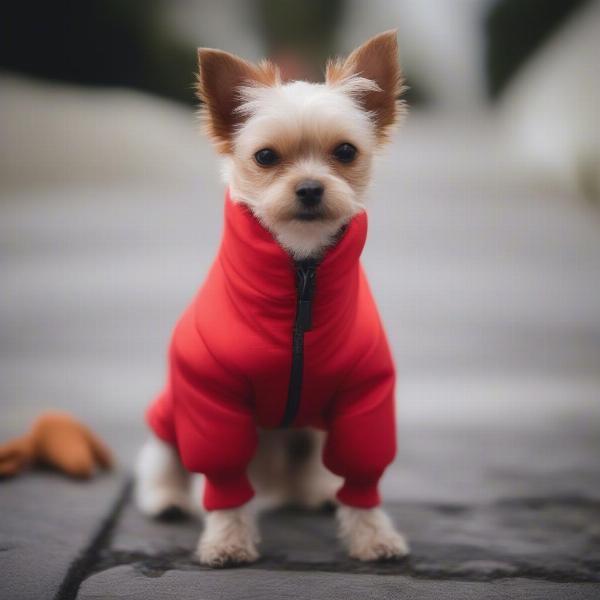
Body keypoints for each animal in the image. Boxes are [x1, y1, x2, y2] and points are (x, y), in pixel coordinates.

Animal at [135, 29, 408, 568]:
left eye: (345, 151)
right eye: (265, 157)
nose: (310, 188)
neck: (301, 273)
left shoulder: (363, 399)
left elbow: (362, 475)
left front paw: (372, 535)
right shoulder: (209, 398)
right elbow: (222, 481)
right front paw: (227, 539)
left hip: (313, 428)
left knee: (308, 470)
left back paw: (316, 493)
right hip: (168, 418)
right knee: (162, 462)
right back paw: (167, 499)